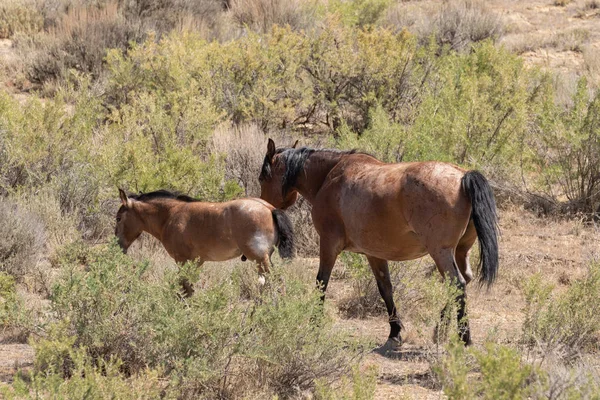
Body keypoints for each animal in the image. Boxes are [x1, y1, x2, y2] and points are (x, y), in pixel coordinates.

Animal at [113, 189, 294, 296]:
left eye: (118, 218)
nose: (117, 247)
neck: (170, 215)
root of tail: (270, 209)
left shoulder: (182, 260)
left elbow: (184, 287)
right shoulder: (196, 262)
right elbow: (189, 288)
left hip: (260, 259)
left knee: (276, 282)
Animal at [260, 139, 500, 348]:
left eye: (263, 177)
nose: (265, 207)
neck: (330, 175)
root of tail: (463, 176)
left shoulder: (328, 244)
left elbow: (321, 283)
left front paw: (313, 323)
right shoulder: (374, 253)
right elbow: (386, 289)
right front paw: (395, 332)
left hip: (440, 252)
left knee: (457, 284)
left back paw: (464, 337)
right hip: (460, 251)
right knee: (464, 280)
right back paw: (440, 330)